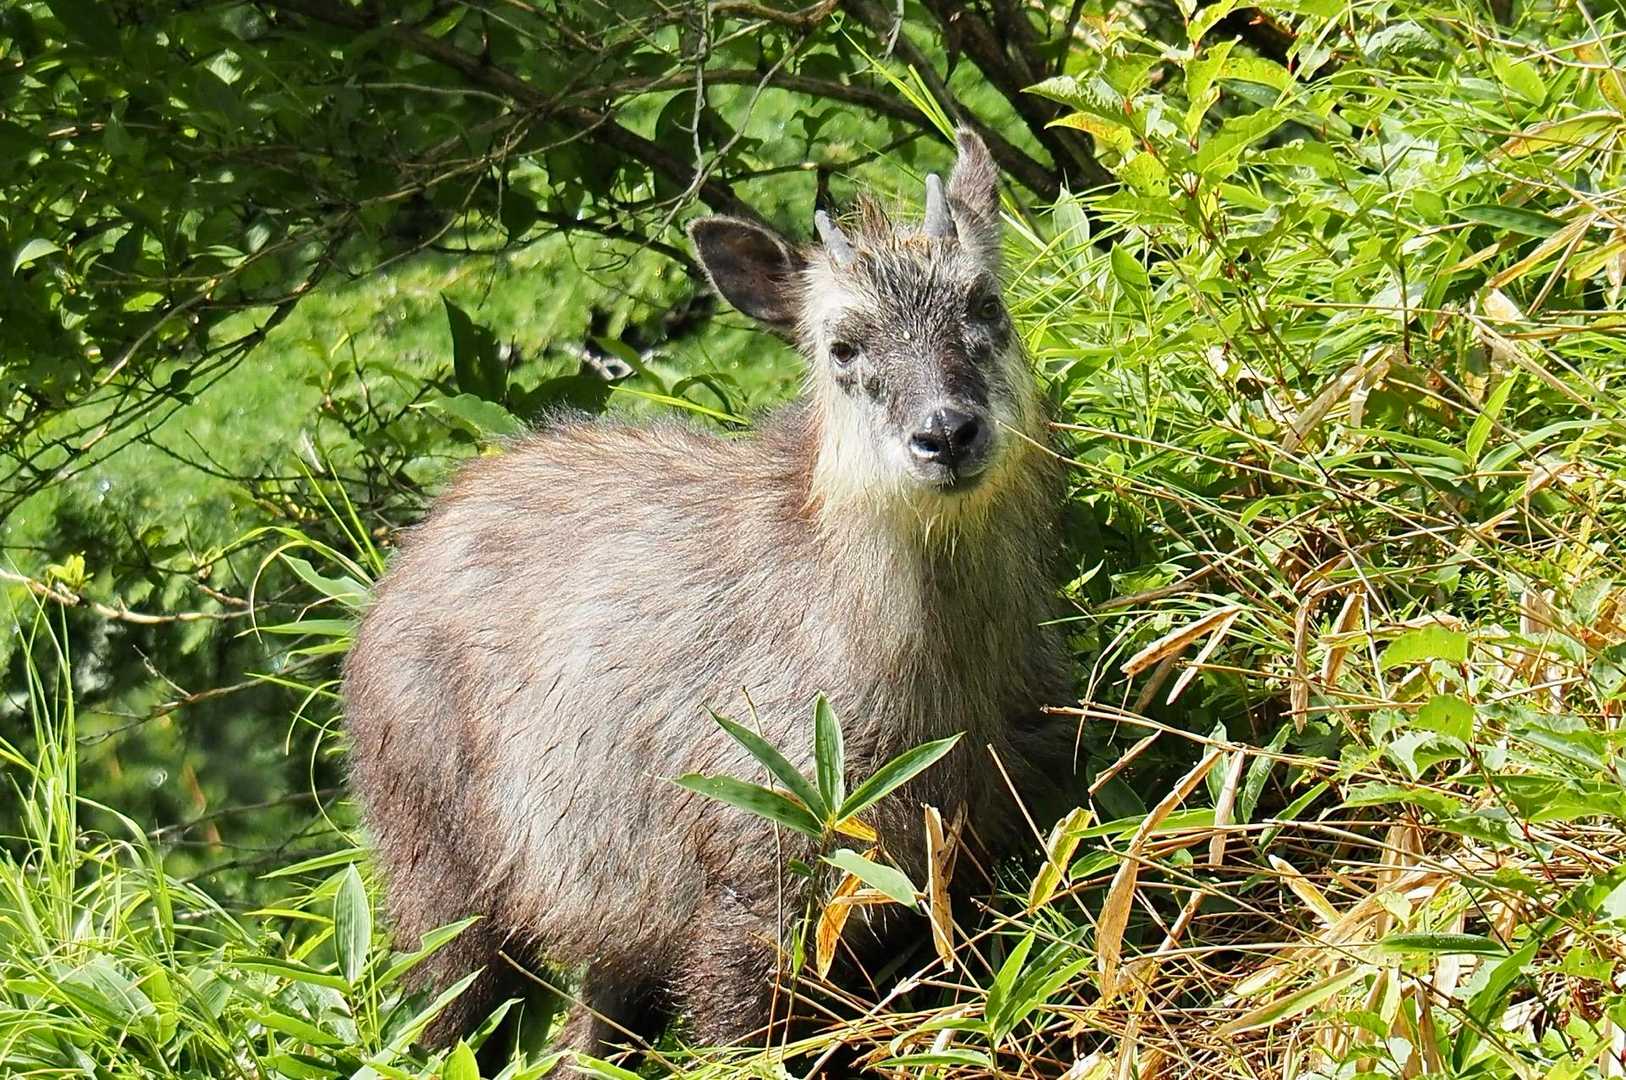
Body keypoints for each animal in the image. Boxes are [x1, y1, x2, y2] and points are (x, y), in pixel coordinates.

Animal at [342, 128, 1076, 1060]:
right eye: (842, 347)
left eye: (984, 304)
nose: (945, 435)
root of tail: (400, 561)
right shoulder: (751, 893)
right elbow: (745, 1045)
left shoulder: (981, 859)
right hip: (445, 898)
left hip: (607, 925)